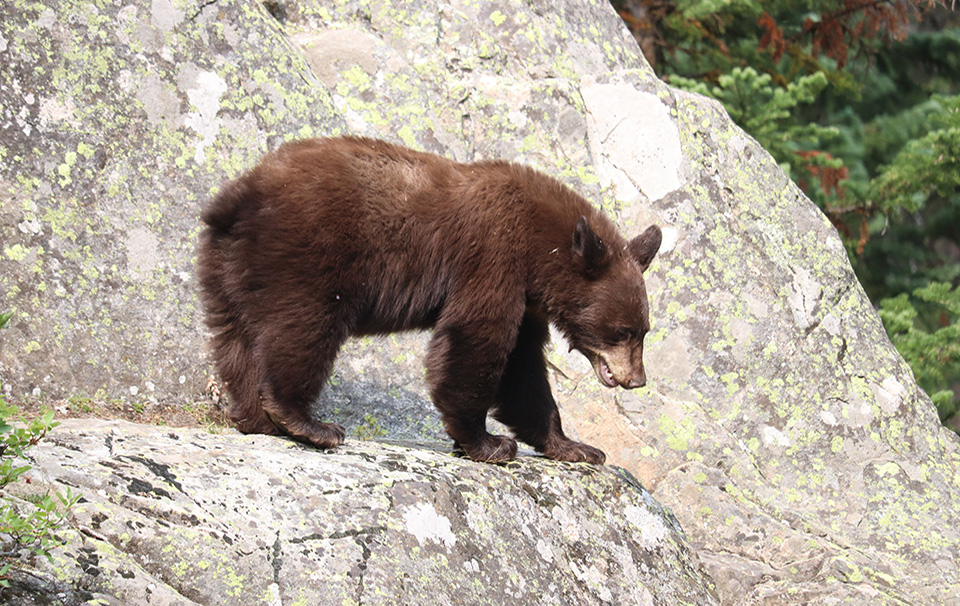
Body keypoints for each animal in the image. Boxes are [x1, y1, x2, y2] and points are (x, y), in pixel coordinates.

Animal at [197, 136, 661, 464]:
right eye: (623, 331)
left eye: (644, 331)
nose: (637, 379)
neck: (542, 250)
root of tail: (241, 194)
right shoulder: (494, 256)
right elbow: (475, 339)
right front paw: (486, 442)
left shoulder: (528, 301)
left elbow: (523, 370)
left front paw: (575, 446)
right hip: (309, 255)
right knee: (303, 328)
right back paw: (308, 422)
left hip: (227, 266)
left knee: (234, 338)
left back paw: (255, 418)